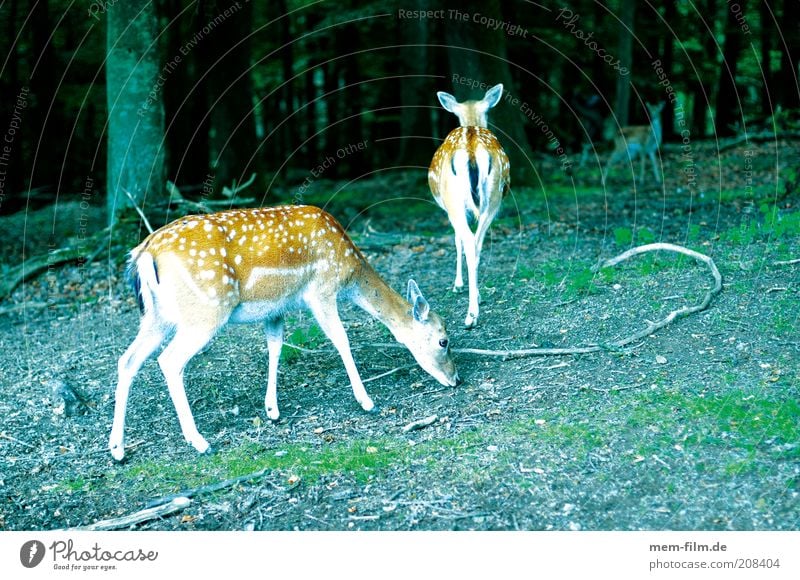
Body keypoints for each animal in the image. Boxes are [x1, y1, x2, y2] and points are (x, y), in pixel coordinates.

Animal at [107, 206, 460, 460]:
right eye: (443, 340)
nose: (456, 379)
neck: (349, 270)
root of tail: (143, 254)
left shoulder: (276, 308)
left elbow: (275, 345)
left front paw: (272, 410)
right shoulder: (322, 290)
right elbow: (341, 340)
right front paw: (366, 401)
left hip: (157, 316)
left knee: (128, 359)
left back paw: (117, 449)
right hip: (206, 309)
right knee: (169, 360)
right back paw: (199, 441)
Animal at [428, 82, 510, 328]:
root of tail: (472, 147)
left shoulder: (449, 209)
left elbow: (456, 241)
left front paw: (458, 284)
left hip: (453, 200)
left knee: (467, 240)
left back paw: (471, 316)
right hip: (493, 198)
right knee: (477, 243)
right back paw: (476, 302)